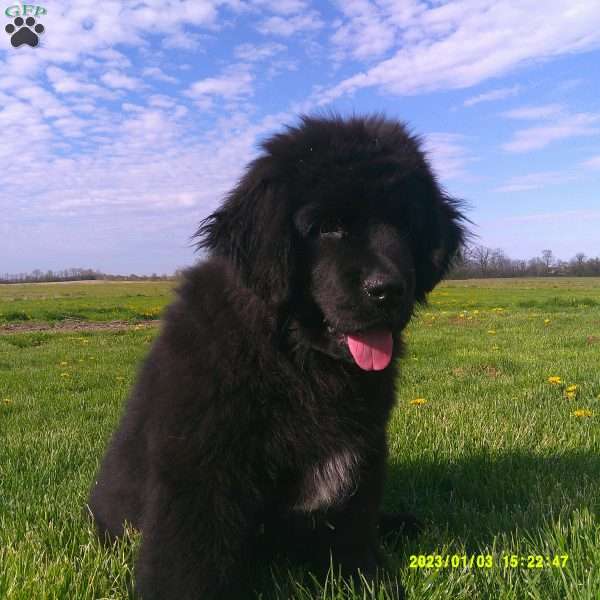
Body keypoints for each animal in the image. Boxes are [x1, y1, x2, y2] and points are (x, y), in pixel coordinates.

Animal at [88, 115, 464, 596]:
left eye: (405, 224)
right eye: (328, 227)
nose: (387, 290)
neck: (297, 359)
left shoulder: (361, 455)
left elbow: (353, 532)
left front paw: (370, 580)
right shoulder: (201, 465)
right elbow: (191, 557)